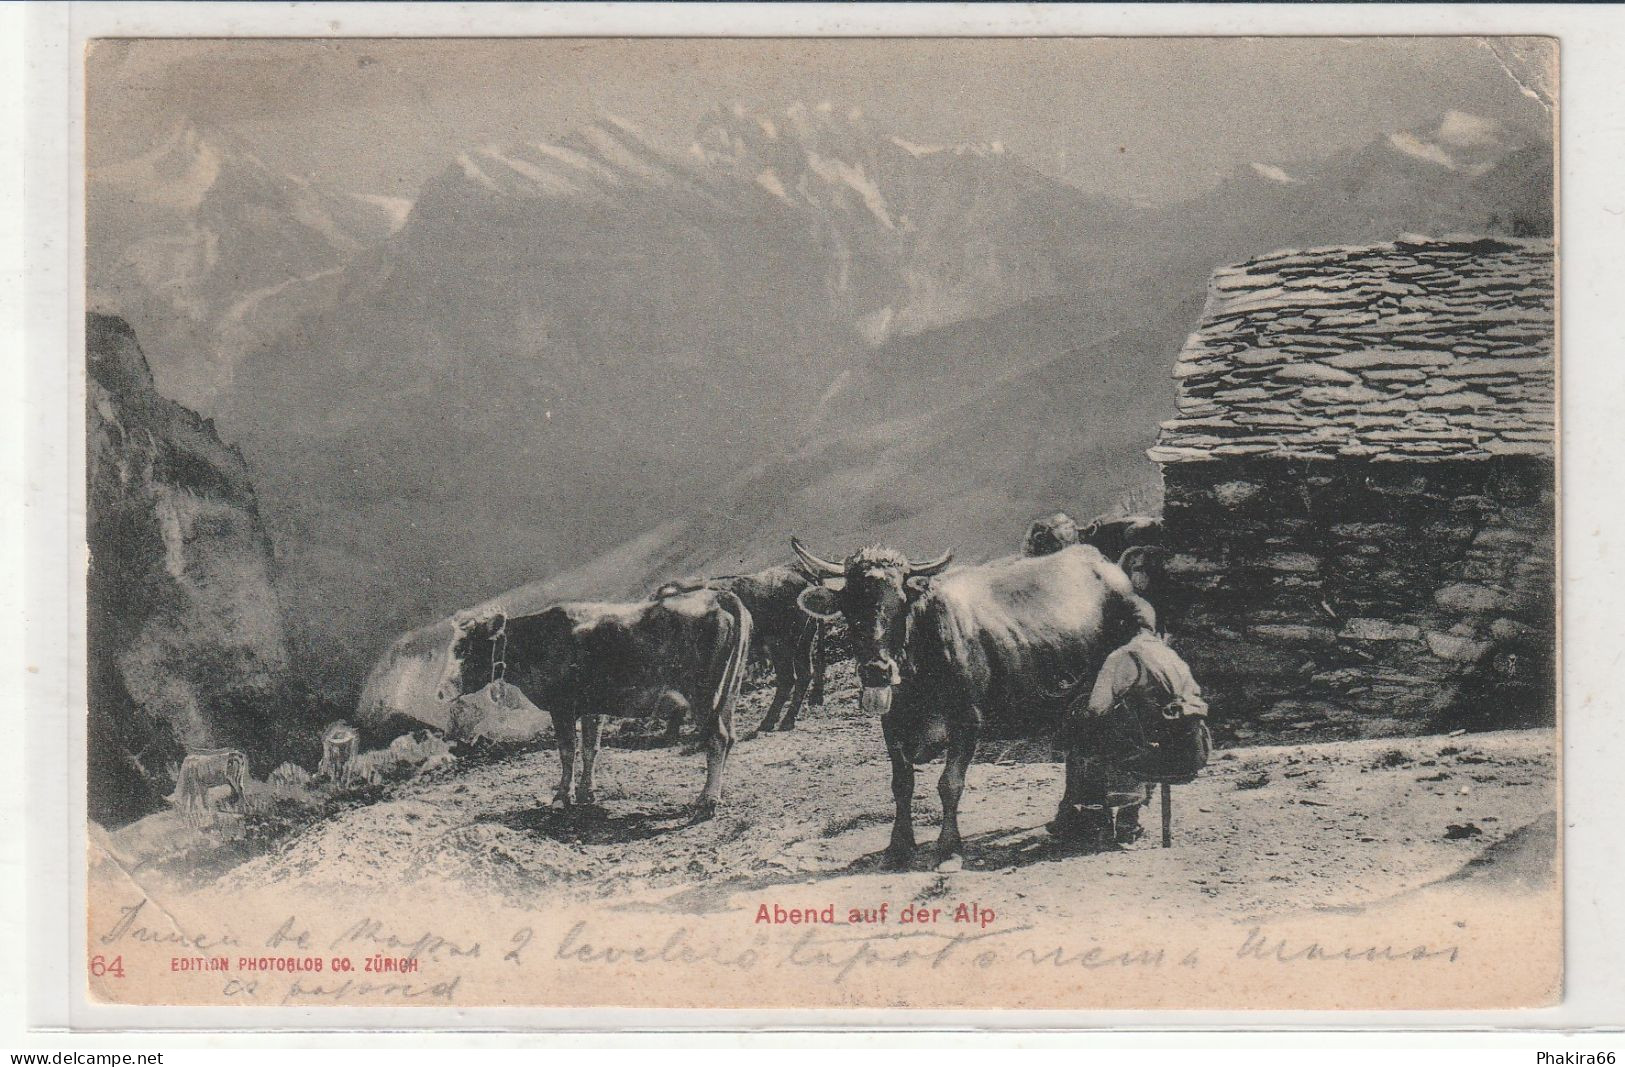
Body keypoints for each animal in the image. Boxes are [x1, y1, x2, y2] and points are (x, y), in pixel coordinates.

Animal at [442, 591, 750, 815]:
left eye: (466, 649)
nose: (442, 691)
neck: (539, 640)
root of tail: (717, 596)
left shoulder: (562, 706)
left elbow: (568, 751)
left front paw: (561, 797)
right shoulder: (593, 707)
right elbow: (591, 748)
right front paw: (586, 793)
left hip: (703, 693)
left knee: (718, 738)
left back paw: (707, 799)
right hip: (729, 692)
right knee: (730, 736)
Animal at [650, 565, 825, 734]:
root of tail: (797, 570)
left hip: (788, 644)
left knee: (795, 677)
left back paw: (778, 721)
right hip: (793, 644)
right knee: (796, 677)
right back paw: (777, 722)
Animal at [789, 535, 1150, 870]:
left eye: (902, 602)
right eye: (849, 605)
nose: (877, 670)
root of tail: (1100, 562)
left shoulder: (967, 720)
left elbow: (949, 784)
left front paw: (949, 849)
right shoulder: (891, 725)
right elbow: (901, 785)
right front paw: (898, 848)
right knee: (1076, 753)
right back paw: (1065, 820)